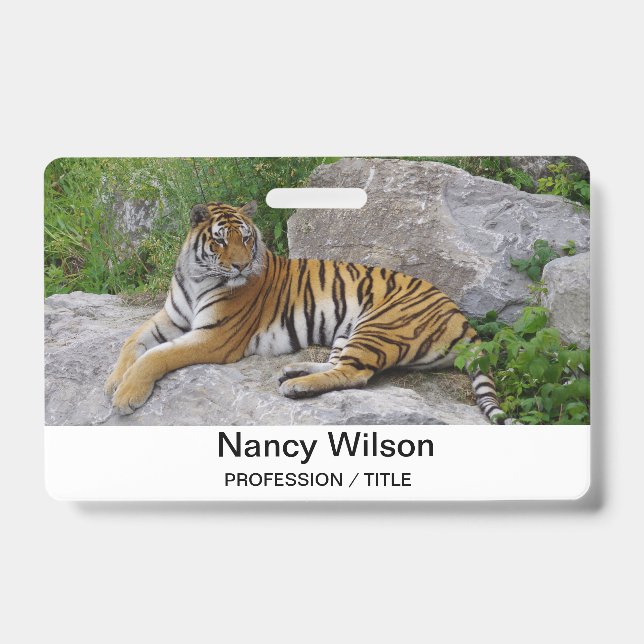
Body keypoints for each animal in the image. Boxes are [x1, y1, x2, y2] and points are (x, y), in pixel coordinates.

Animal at [105, 200, 511, 424]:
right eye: (220, 240)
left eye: (246, 238)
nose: (240, 266)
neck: (196, 276)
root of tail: (461, 317)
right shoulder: (170, 317)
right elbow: (132, 342)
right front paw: (113, 380)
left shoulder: (214, 337)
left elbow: (158, 356)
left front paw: (126, 395)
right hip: (348, 330)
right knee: (338, 365)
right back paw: (294, 370)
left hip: (378, 326)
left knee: (354, 375)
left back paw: (296, 387)